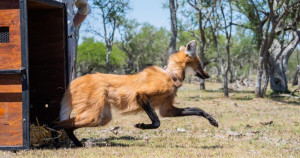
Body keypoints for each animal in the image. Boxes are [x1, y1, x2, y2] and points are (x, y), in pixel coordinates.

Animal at [54, 40, 218, 146]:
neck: (171, 75)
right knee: (57, 123)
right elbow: (157, 122)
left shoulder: (167, 110)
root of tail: (76, 80)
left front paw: (212, 120)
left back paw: (77, 144)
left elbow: (197, 109)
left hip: (101, 118)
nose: (208, 75)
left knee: (68, 126)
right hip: (93, 115)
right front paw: (142, 125)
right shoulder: (141, 95)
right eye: (200, 64)